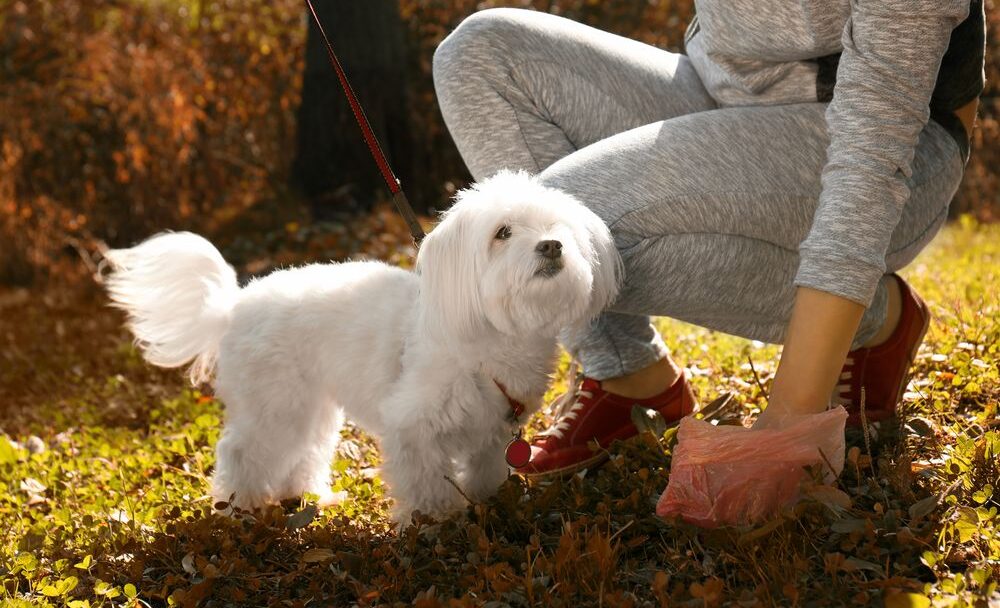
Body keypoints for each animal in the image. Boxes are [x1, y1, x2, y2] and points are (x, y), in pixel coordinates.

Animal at [101, 170, 616, 524]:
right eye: (502, 233)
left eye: (558, 228)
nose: (551, 246)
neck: (489, 339)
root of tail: (234, 305)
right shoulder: (412, 426)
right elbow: (425, 482)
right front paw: (433, 522)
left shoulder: (493, 434)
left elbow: (487, 471)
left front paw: (487, 503)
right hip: (274, 404)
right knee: (241, 451)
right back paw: (239, 507)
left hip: (311, 407)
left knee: (303, 452)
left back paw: (311, 497)